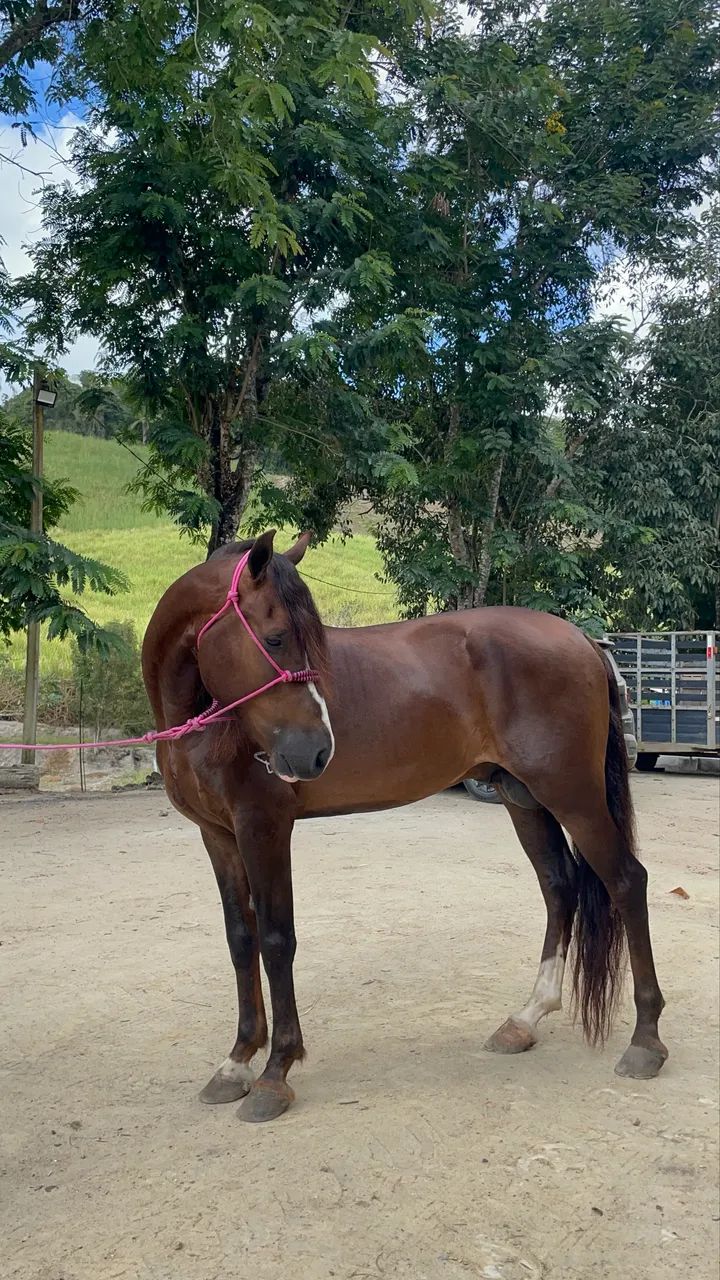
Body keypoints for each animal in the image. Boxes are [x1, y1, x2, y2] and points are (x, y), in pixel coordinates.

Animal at [141, 529, 667, 1123]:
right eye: (275, 639)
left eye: (294, 639)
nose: (316, 751)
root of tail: (579, 638)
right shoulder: (218, 836)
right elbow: (240, 938)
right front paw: (235, 1064)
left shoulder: (264, 828)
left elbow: (276, 940)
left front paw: (275, 1073)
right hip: (524, 799)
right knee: (560, 888)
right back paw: (526, 1019)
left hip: (572, 796)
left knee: (626, 881)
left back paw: (646, 1041)